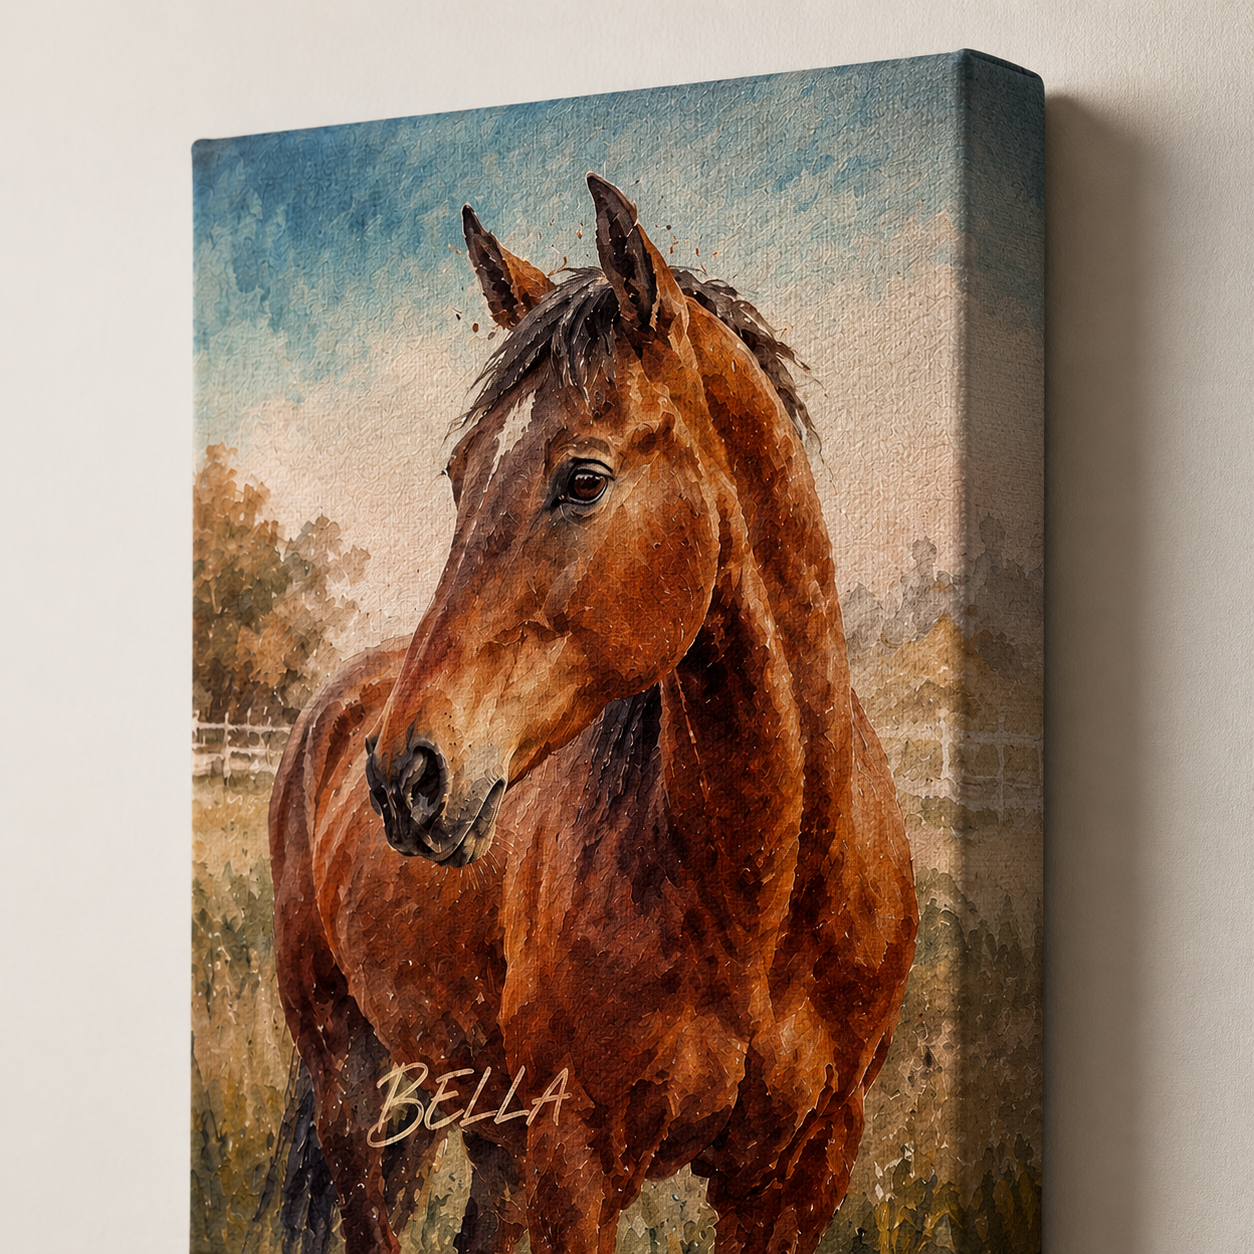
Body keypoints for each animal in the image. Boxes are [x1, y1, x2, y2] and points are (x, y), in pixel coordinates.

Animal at [268, 173, 918, 1254]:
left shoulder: (798, 1176)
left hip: (476, 1119)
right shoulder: (576, 1165)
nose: (406, 777)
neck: (760, 898)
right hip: (354, 1089)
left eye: (583, 477)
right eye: (460, 474)